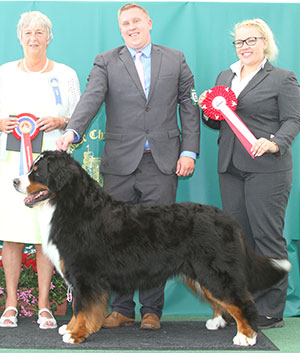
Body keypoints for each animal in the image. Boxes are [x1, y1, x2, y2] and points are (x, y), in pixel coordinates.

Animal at [13, 151, 290, 344]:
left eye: (37, 171)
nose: (15, 181)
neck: (71, 204)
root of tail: (229, 219)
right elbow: (81, 309)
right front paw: (69, 328)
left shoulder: (85, 275)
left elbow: (83, 308)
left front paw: (76, 334)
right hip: (200, 273)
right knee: (222, 300)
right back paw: (217, 322)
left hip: (215, 271)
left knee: (241, 301)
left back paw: (246, 336)